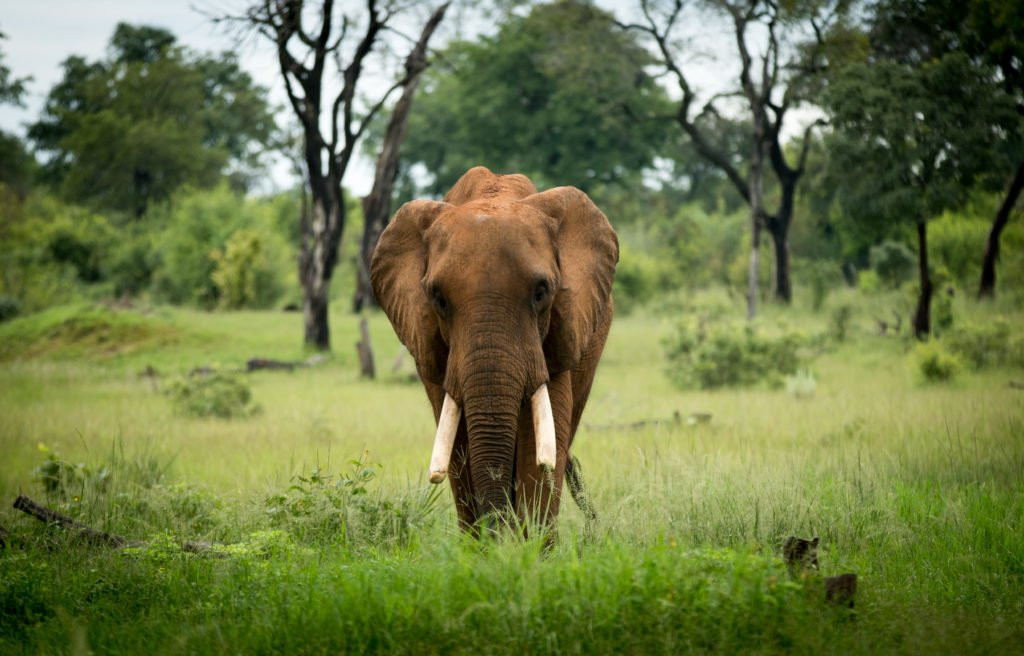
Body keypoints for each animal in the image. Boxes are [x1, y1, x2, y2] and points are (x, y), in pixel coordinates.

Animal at [372, 163, 618, 532]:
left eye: (541, 292)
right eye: (438, 298)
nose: (498, 533)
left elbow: (542, 445)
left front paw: (531, 544)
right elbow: (458, 448)